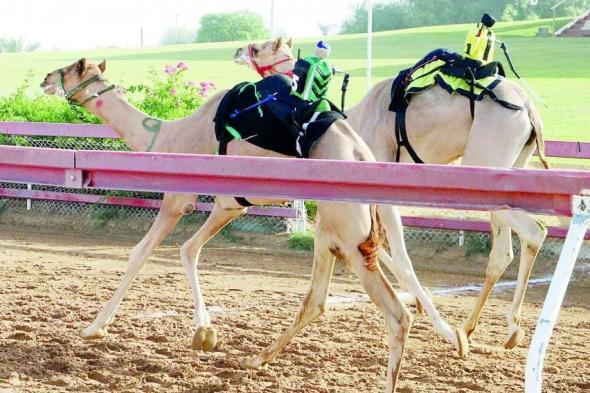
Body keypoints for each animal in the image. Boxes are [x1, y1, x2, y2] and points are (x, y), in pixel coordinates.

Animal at [40, 38, 468, 390]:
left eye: (70, 67)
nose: (45, 78)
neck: (163, 137)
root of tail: (362, 155)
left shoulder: (178, 196)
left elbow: (140, 254)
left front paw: (94, 327)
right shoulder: (229, 204)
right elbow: (189, 250)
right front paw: (204, 332)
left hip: (345, 232)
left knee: (394, 313)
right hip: (346, 227)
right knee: (344, 289)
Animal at [235, 37, 552, 350]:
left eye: (260, 48)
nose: (238, 50)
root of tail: (530, 111)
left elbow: (398, 258)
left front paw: (443, 328)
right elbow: (381, 251)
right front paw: (427, 308)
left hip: (484, 166)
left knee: (535, 230)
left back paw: (493, 328)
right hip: (511, 167)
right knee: (503, 251)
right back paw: (483, 328)